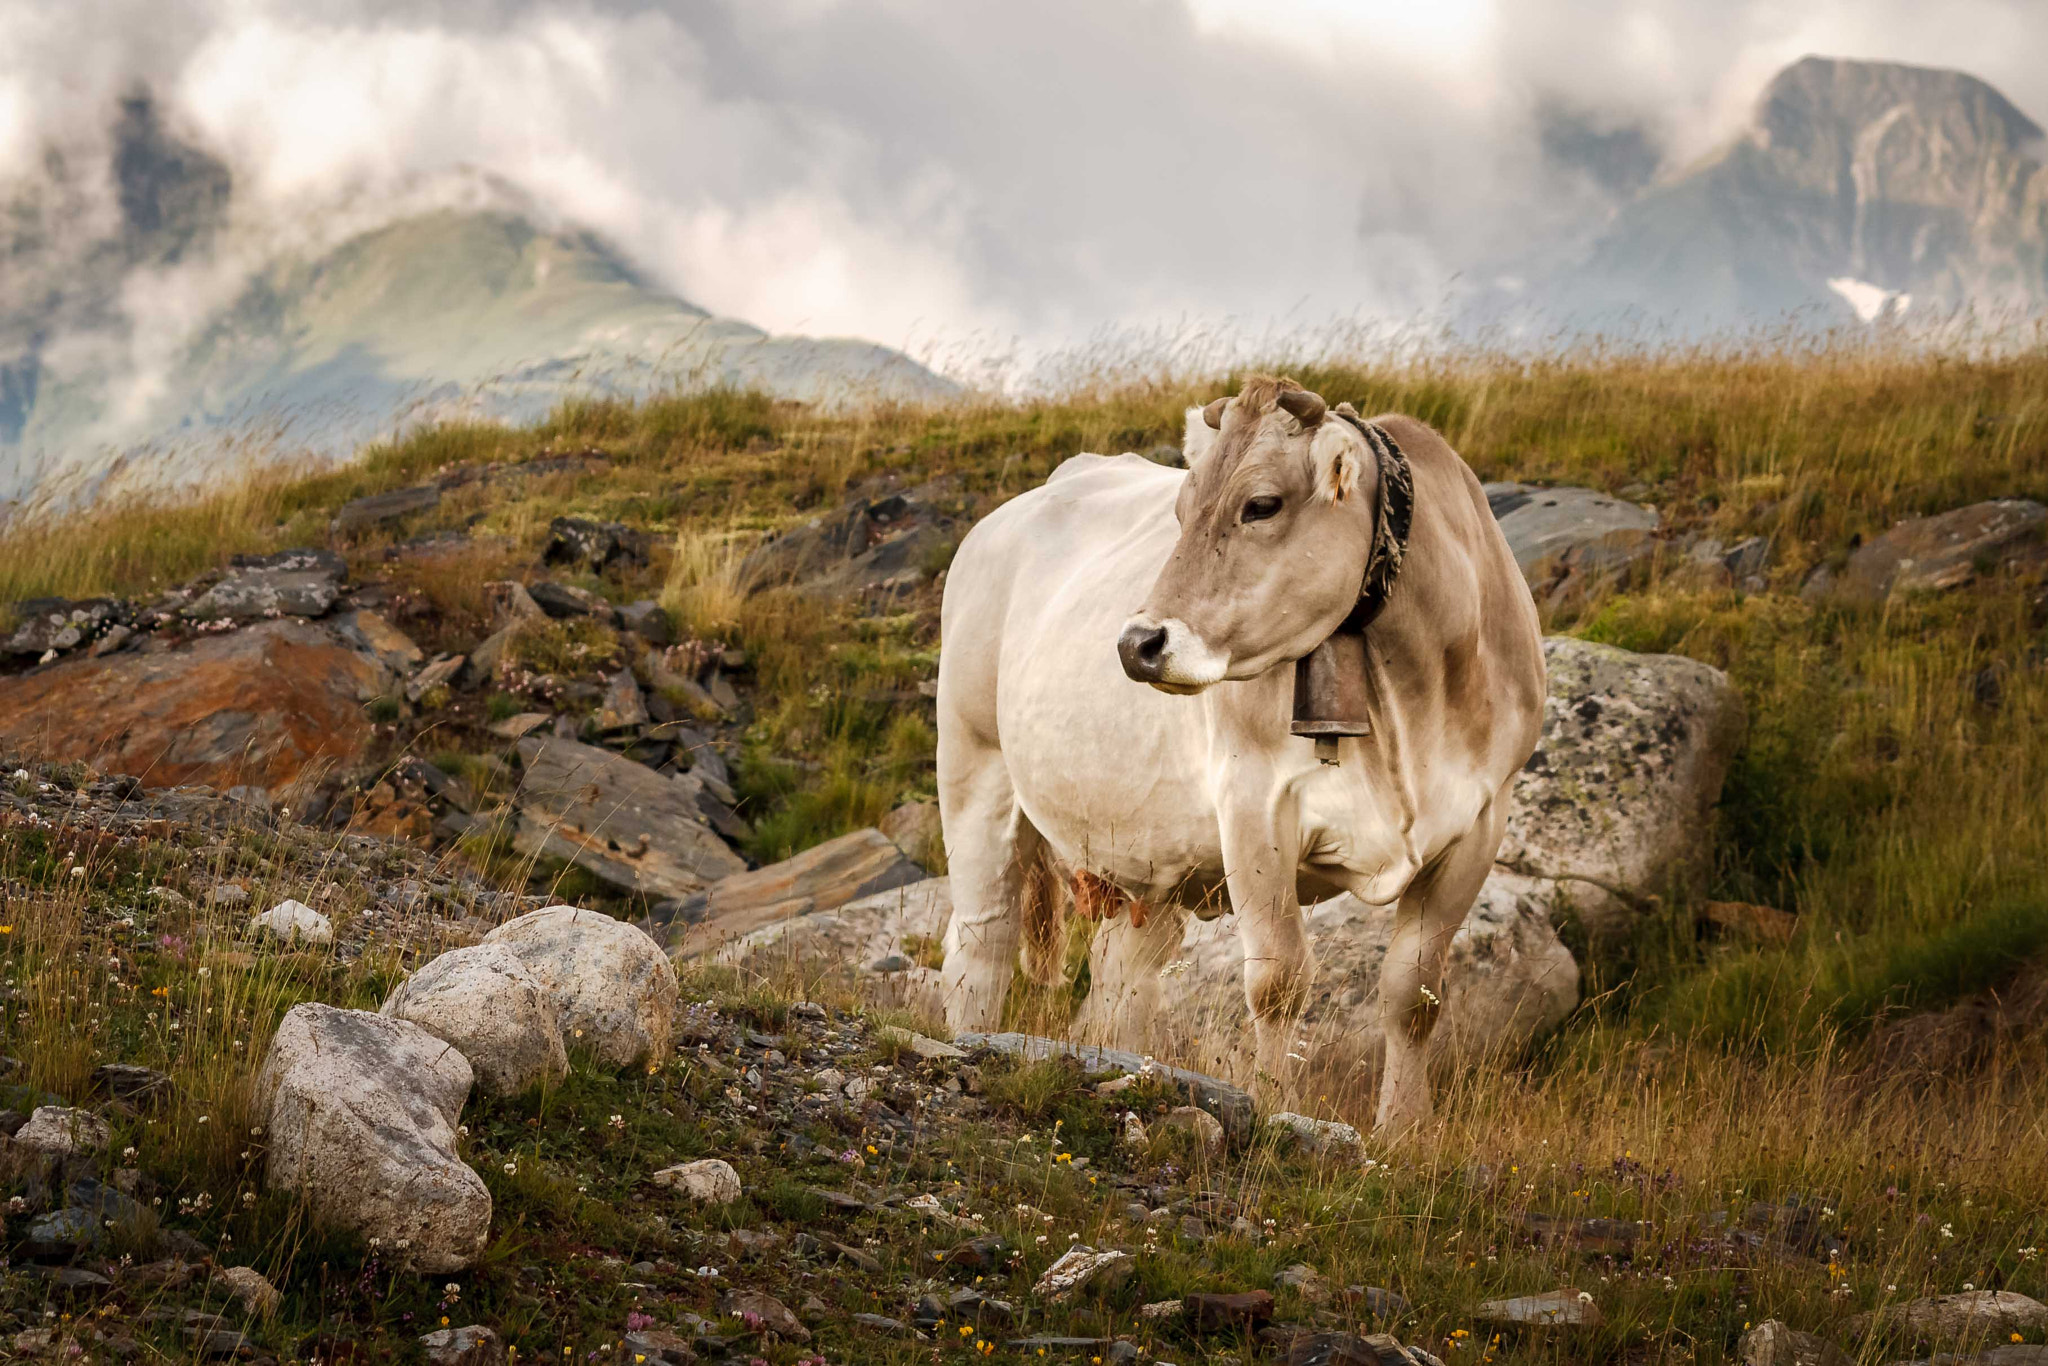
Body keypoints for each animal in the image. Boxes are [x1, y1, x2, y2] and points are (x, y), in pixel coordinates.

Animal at [935, 376, 1544, 1133]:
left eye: (1261, 505)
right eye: (1181, 510)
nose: (1137, 644)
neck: (1413, 703)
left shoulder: (1481, 820)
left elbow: (1415, 994)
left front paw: (1404, 1130)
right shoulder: (1255, 802)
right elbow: (1279, 981)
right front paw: (1278, 1110)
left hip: (1144, 861)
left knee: (1121, 982)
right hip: (974, 765)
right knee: (981, 944)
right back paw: (969, 1040)